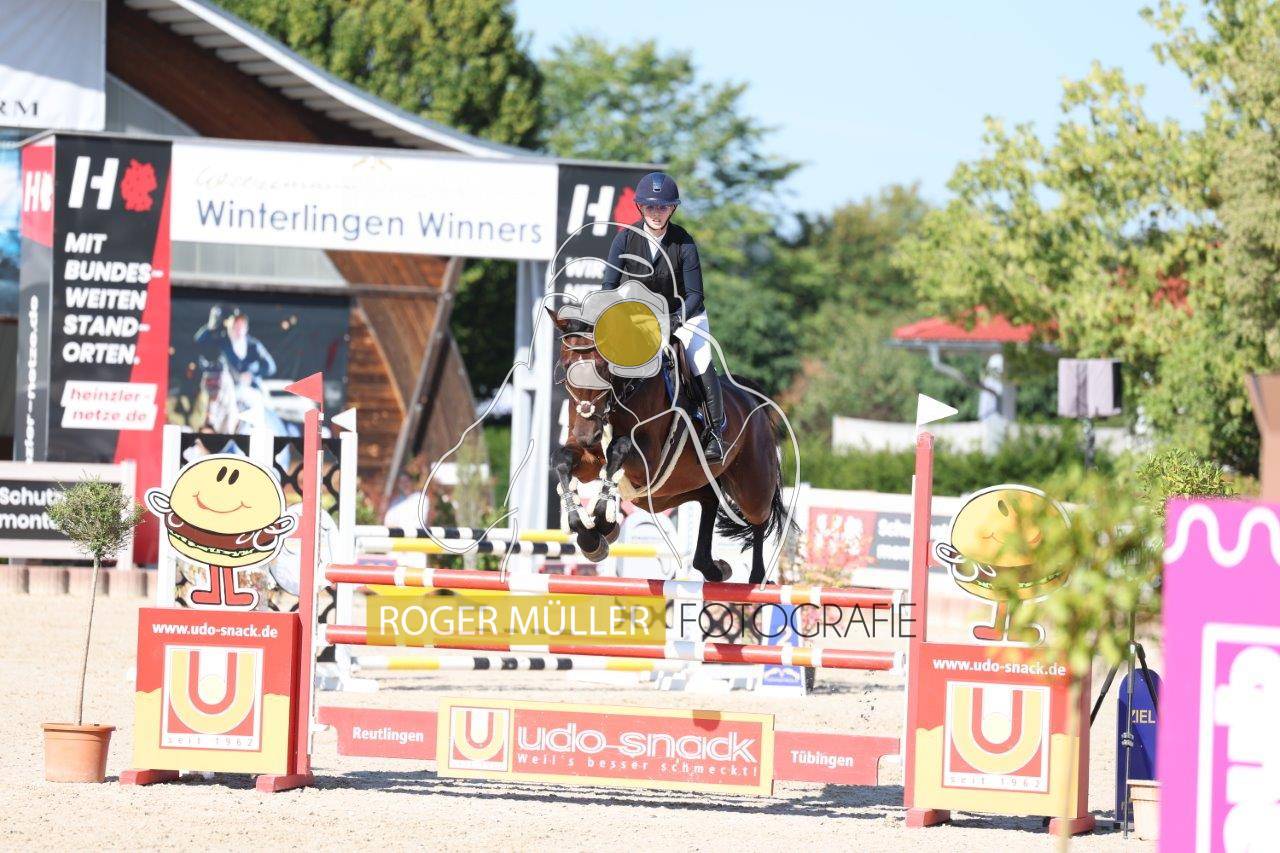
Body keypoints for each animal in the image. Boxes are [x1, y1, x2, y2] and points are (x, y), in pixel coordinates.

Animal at [547, 308, 792, 584]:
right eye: (566, 366)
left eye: (600, 366)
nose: (585, 435)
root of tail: (753, 400)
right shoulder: (590, 457)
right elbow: (563, 460)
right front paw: (588, 533)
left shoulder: (649, 463)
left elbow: (618, 449)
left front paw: (600, 521)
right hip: (675, 490)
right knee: (709, 500)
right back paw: (713, 568)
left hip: (751, 483)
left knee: (759, 517)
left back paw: (758, 579)